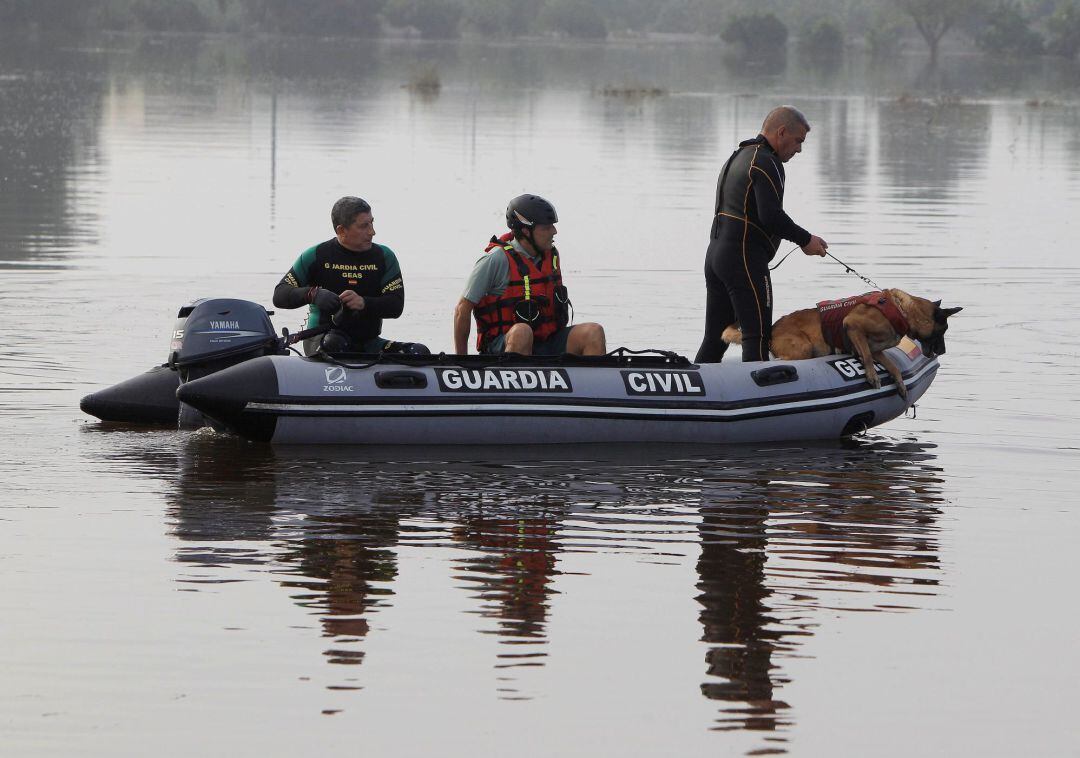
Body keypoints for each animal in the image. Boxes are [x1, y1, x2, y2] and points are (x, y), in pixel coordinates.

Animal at [725, 287, 963, 401]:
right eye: (943, 331)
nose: (942, 352)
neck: (903, 311)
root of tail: (773, 329)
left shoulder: (877, 349)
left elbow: (893, 366)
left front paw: (901, 384)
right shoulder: (853, 326)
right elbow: (866, 356)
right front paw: (872, 376)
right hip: (804, 348)